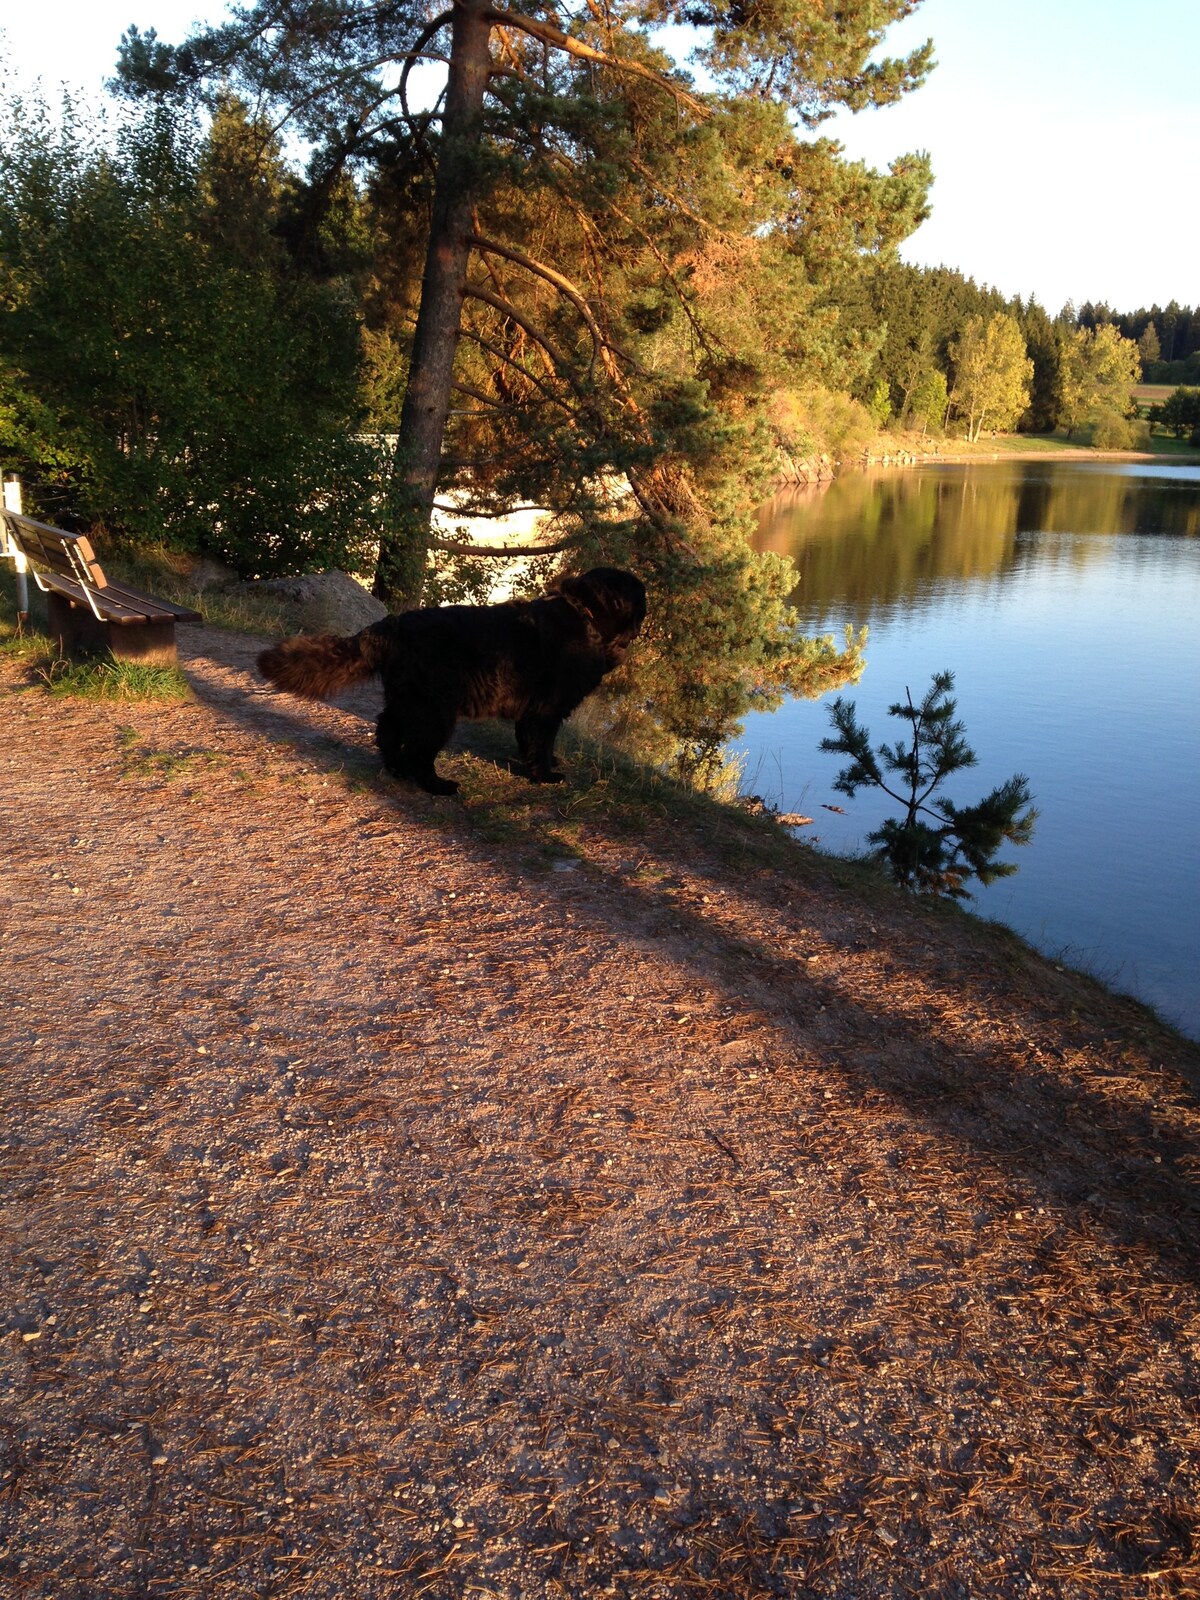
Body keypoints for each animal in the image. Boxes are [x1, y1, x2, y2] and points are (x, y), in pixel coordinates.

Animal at [256, 569, 649, 793]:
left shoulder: (532, 713)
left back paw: (397, 770)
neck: (587, 617)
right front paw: (546, 776)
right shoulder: (547, 711)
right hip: (436, 712)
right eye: (641, 596)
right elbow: (541, 745)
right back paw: (437, 786)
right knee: (418, 752)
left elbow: (529, 742)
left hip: (407, 701)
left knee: (387, 733)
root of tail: (394, 624)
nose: (647, 605)